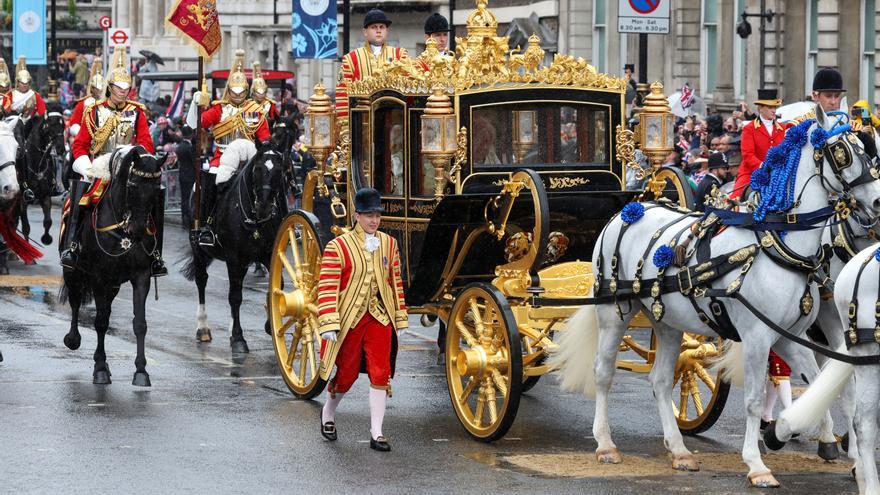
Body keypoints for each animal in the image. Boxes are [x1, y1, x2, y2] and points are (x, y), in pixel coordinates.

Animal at [18, 110, 66, 246]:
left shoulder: (45, 196)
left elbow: (48, 221)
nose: (61, 149)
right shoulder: (23, 200)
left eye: (63, 126)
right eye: (50, 125)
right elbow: (26, 227)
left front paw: (46, 239)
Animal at [61, 147, 168, 388]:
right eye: (133, 186)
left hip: (113, 285)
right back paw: (73, 339)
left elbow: (140, 323)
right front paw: (100, 368)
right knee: (75, 301)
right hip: (74, 273)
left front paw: (141, 371)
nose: (138, 230)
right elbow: (101, 322)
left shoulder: (140, 276)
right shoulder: (99, 277)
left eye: (157, 190)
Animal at [181, 141, 286, 354]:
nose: (264, 207)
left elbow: (277, 286)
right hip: (199, 249)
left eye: (279, 170)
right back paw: (203, 328)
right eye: (258, 169)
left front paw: (269, 324)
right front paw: (238, 338)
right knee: (202, 281)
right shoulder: (234, 259)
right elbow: (235, 297)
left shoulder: (267, 254)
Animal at [552, 106, 880, 490]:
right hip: (613, 313)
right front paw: (757, 463)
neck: (775, 244)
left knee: (659, 380)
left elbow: (823, 388)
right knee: (603, 372)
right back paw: (605, 444)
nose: (877, 201)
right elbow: (752, 399)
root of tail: (628, 210)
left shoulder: (790, 337)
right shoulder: (758, 337)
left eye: (867, 149)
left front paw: (789, 433)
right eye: (843, 151)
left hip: (667, 321)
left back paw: (679, 450)